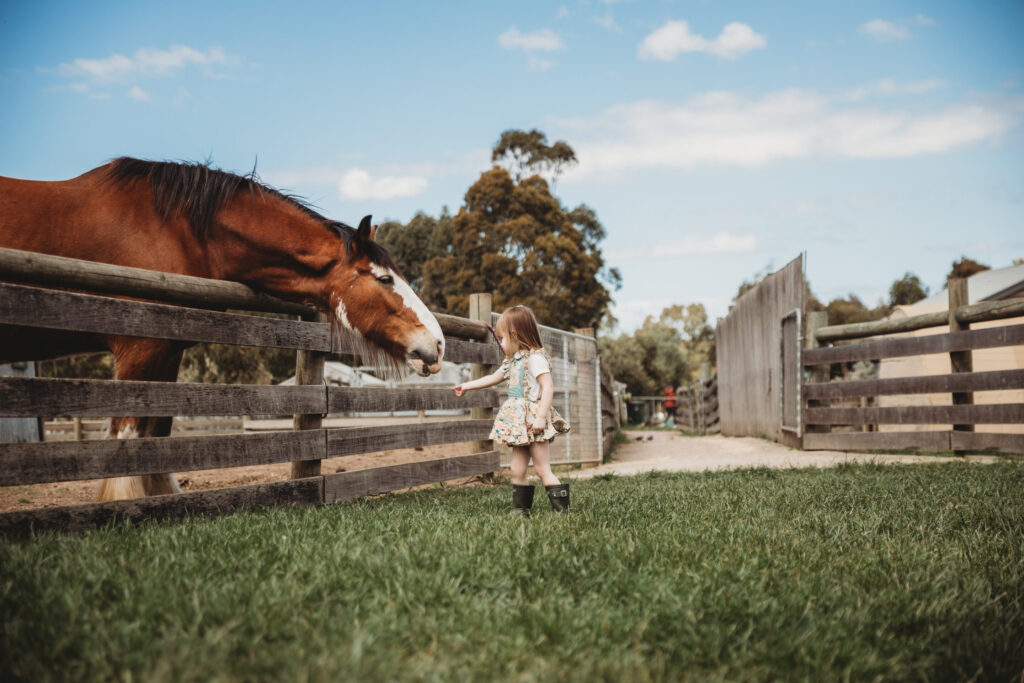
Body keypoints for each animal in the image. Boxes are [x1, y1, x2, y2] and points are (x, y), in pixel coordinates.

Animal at [3, 158, 444, 501]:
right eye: (384, 279)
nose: (437, 344)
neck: (174, 228)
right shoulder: (139, 347)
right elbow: (127, 438)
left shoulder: (167, 349)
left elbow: (156, 434)